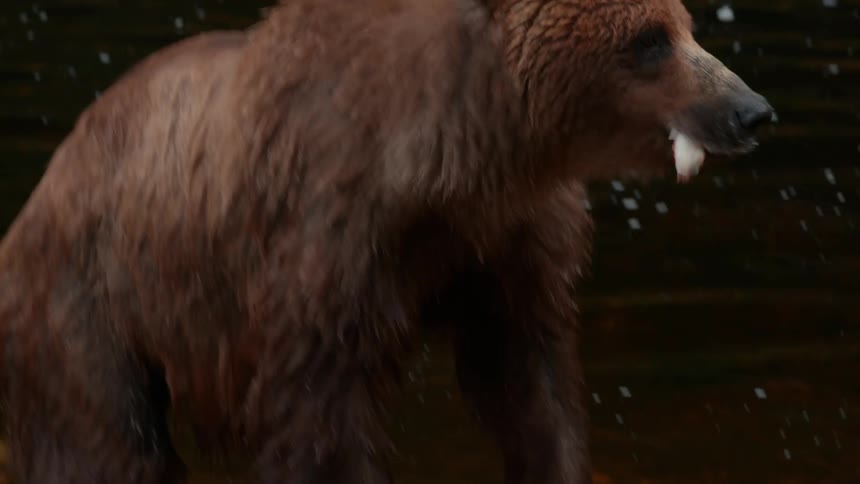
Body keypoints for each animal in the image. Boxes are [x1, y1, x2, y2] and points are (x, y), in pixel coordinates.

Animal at [0, 0, 773, 482]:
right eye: (650, 39)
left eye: (684, 24)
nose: (751, 109)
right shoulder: (322, 244)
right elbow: (316, 417)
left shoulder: (507, 244)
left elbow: (531, 385)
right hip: (89, 302)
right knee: (106, 447)